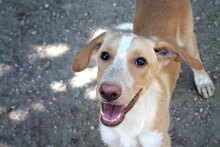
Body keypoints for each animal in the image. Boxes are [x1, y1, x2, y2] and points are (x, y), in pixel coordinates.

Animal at [72, 0, 215, 146]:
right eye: (104, 55)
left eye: (141, 61)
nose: (108, 92)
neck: (129, 124)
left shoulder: (161, 140)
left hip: (187, 39)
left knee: (196, 59)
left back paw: (203, 82)